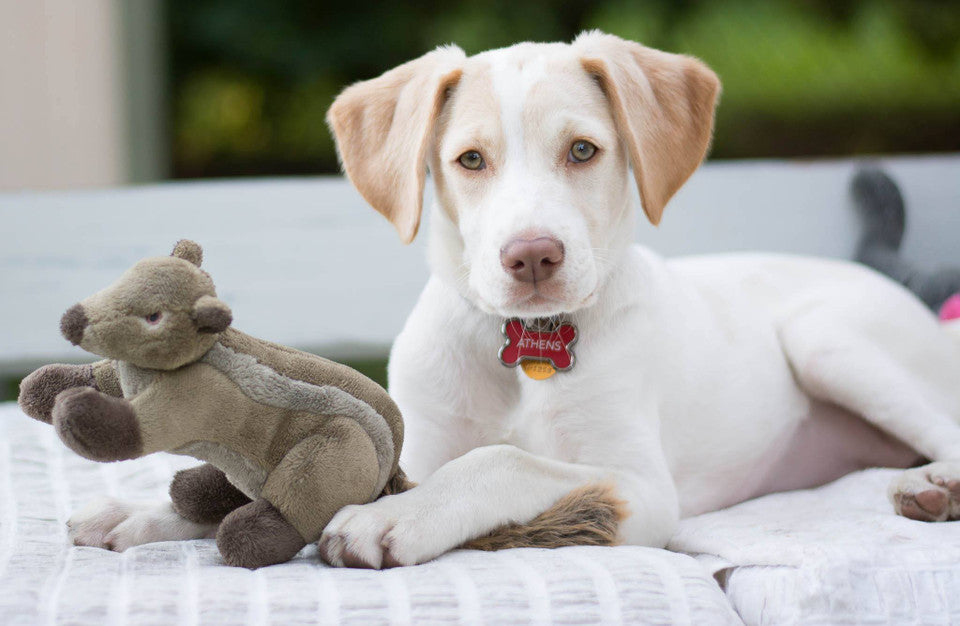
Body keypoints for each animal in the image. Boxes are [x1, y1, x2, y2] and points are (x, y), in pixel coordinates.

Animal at [73, 33, 960, 564]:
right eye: (470, 160)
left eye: (584, 151)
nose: (533, 255)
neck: (524, 347)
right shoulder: (417, 443)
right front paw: (143, 514)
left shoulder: (642, 489)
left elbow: (505, 459)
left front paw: (392, 519)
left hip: (831, 339)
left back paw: (933, 488)